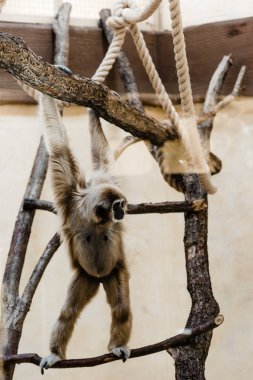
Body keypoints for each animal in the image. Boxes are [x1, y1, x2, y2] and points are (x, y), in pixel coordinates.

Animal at [39, 93, 132, 372]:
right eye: (117, 206)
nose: (124, 211)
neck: (96, 220)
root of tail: (99, 277)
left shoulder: (98, 184)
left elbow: (100, 159)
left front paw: (93, 111)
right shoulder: (71, 199)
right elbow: (59, 147)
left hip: (113, 272)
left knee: (121, 309)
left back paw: (116, 346)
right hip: (85, 276)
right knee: (68, 312)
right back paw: (56, 354)